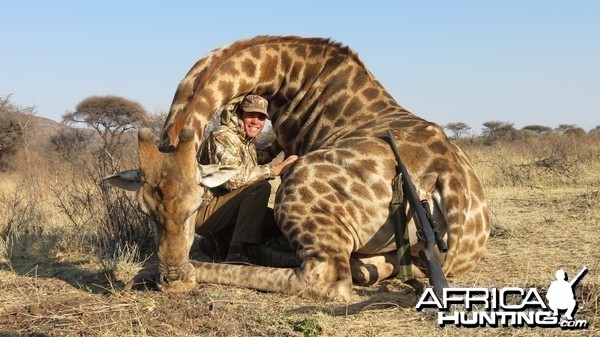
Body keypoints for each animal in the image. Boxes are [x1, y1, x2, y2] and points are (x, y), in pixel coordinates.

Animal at [111, 35, 488, 300]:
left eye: (194, 207)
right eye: (145, 211)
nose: (173, 281)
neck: (292, 75)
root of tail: (446, 177)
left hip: (295, 190)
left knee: (326, 281)